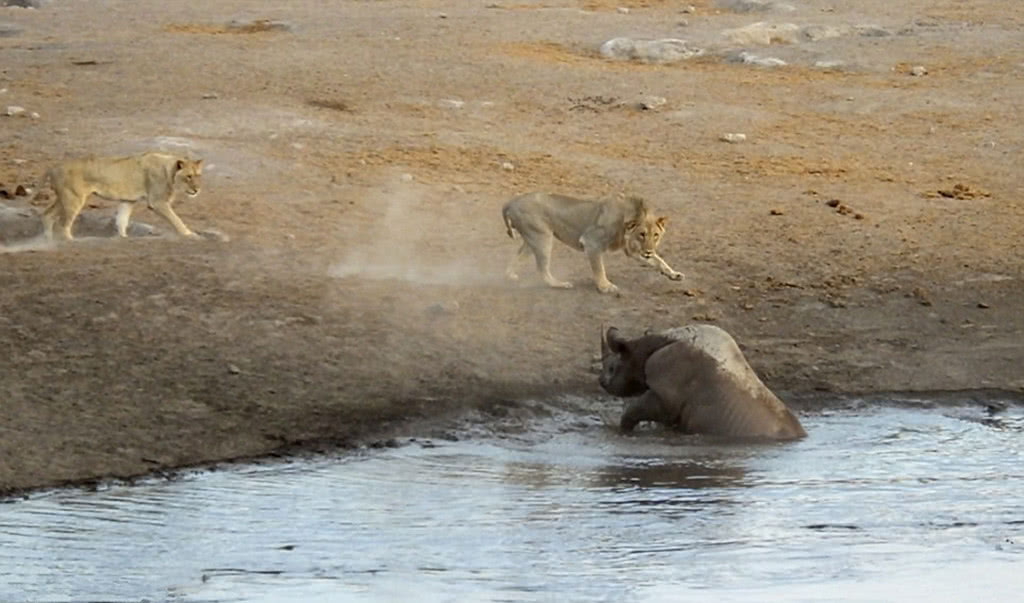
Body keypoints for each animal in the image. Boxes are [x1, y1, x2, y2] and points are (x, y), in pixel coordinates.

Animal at [40, 150, 203, 239]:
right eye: (189, 176)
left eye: (198, 175)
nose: (197, 190)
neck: (169, 172)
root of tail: (53, 168)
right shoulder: (157, 202)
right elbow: (176, 219)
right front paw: (189, 235)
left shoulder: (128, 200)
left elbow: (122, 220)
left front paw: (123, 238)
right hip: (73, 199)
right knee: (63, 225)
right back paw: (69, 241)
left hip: (65, 198)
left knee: (47, 214)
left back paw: (47, 240)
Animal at [501, 188, 684, 290]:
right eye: (642, 234)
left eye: (656, 235)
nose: (648, 251)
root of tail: (512, 201)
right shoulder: (591, 243)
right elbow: (599, 268)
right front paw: (605, 287)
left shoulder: (632, 250)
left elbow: (659, 262)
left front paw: (674, 274)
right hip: (543, 238)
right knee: (542, 269)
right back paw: (560, 284)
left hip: (533, 238)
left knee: (518, 257)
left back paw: (510, 275)